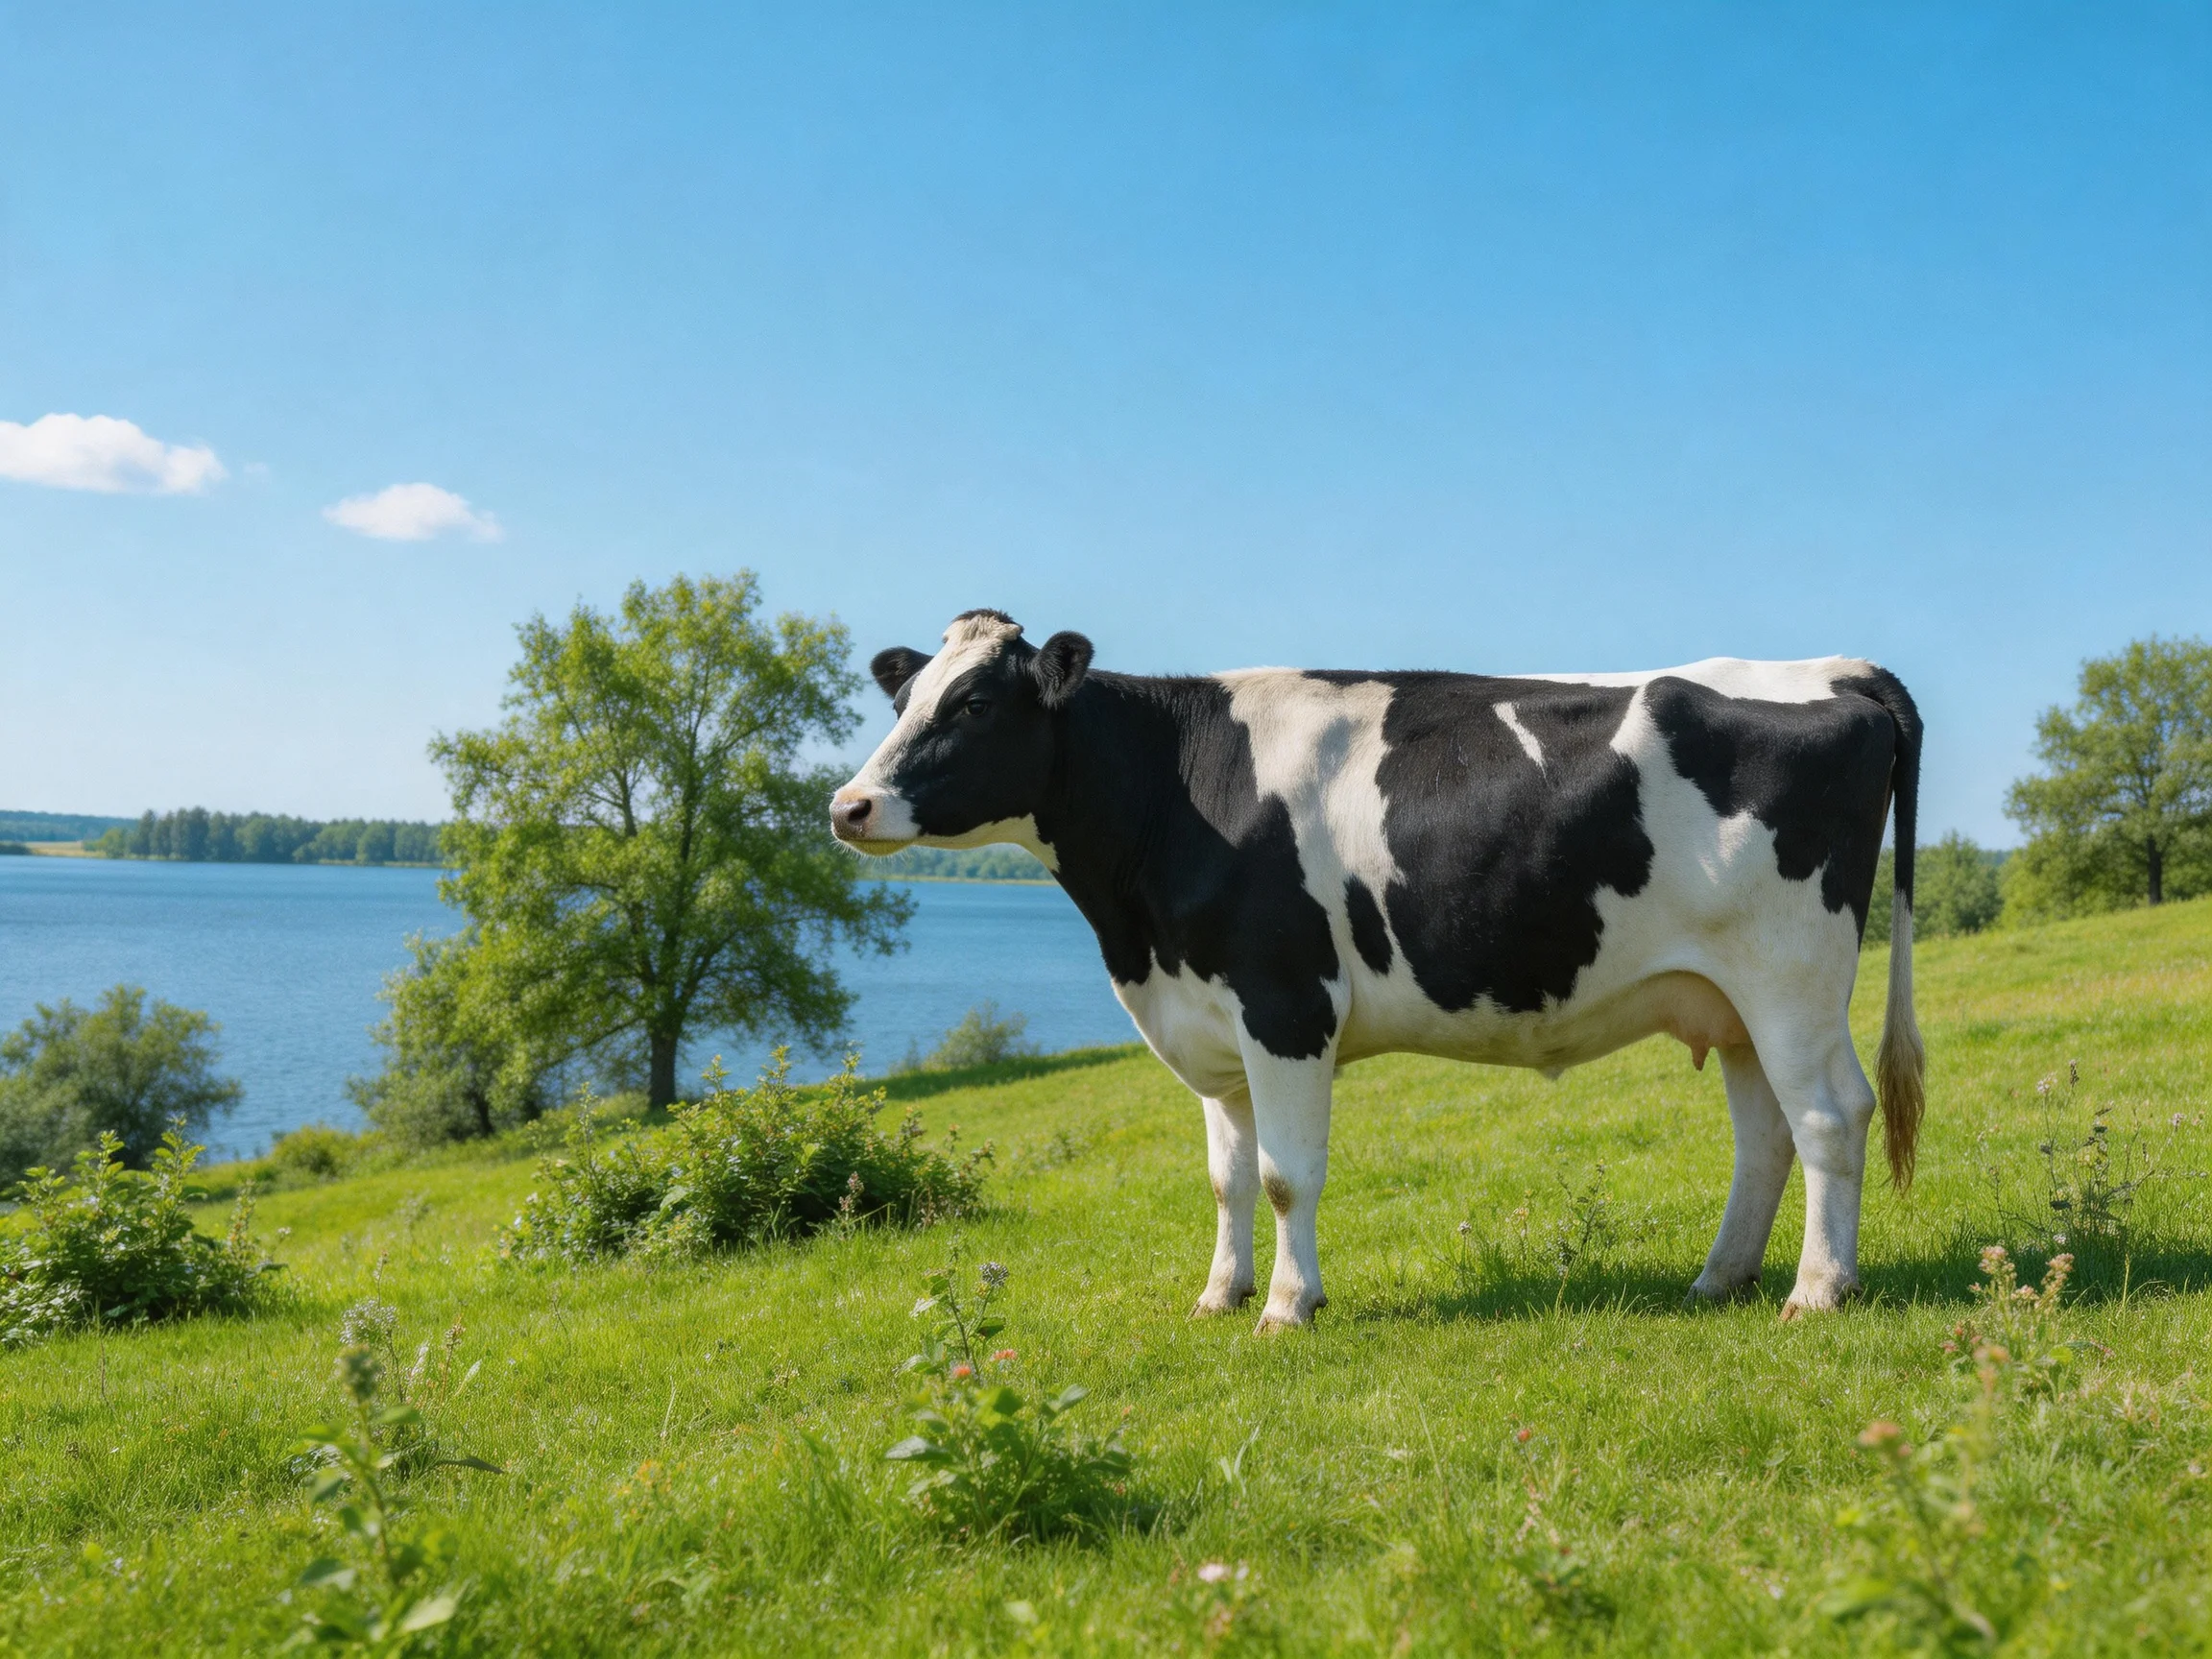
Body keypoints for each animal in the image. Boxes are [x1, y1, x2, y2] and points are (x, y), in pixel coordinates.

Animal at [832, 610, 1924, 1332]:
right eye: (905, 697)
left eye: (974, 701)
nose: (848, 805)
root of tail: (1838, 667)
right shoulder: (1212, 1020)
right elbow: (1227, 1176)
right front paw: (1219, 1293)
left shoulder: (1284, 1004)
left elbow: (1285, 1176)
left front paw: (1286, 1305)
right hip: (1731, 996)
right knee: (1767, 1135)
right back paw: (1720, 1278)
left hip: (1791, 970)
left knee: (1832, 1114)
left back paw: (1818, 1290)